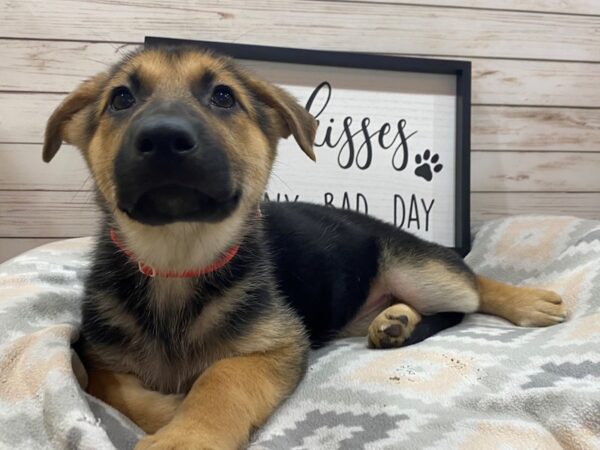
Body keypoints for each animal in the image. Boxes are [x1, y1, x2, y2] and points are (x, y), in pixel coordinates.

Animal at [43, 46, 568, 450]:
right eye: (121, 98)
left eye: (223, 96)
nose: (165, 138)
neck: (179, 260)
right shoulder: (96, 354)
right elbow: (106, 383)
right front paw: (173, 411)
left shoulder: (279, 345)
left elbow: (221, 378)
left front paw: (188, 433)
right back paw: (394, 321)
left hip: (421, 271)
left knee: (471, 285)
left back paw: (525, 300)